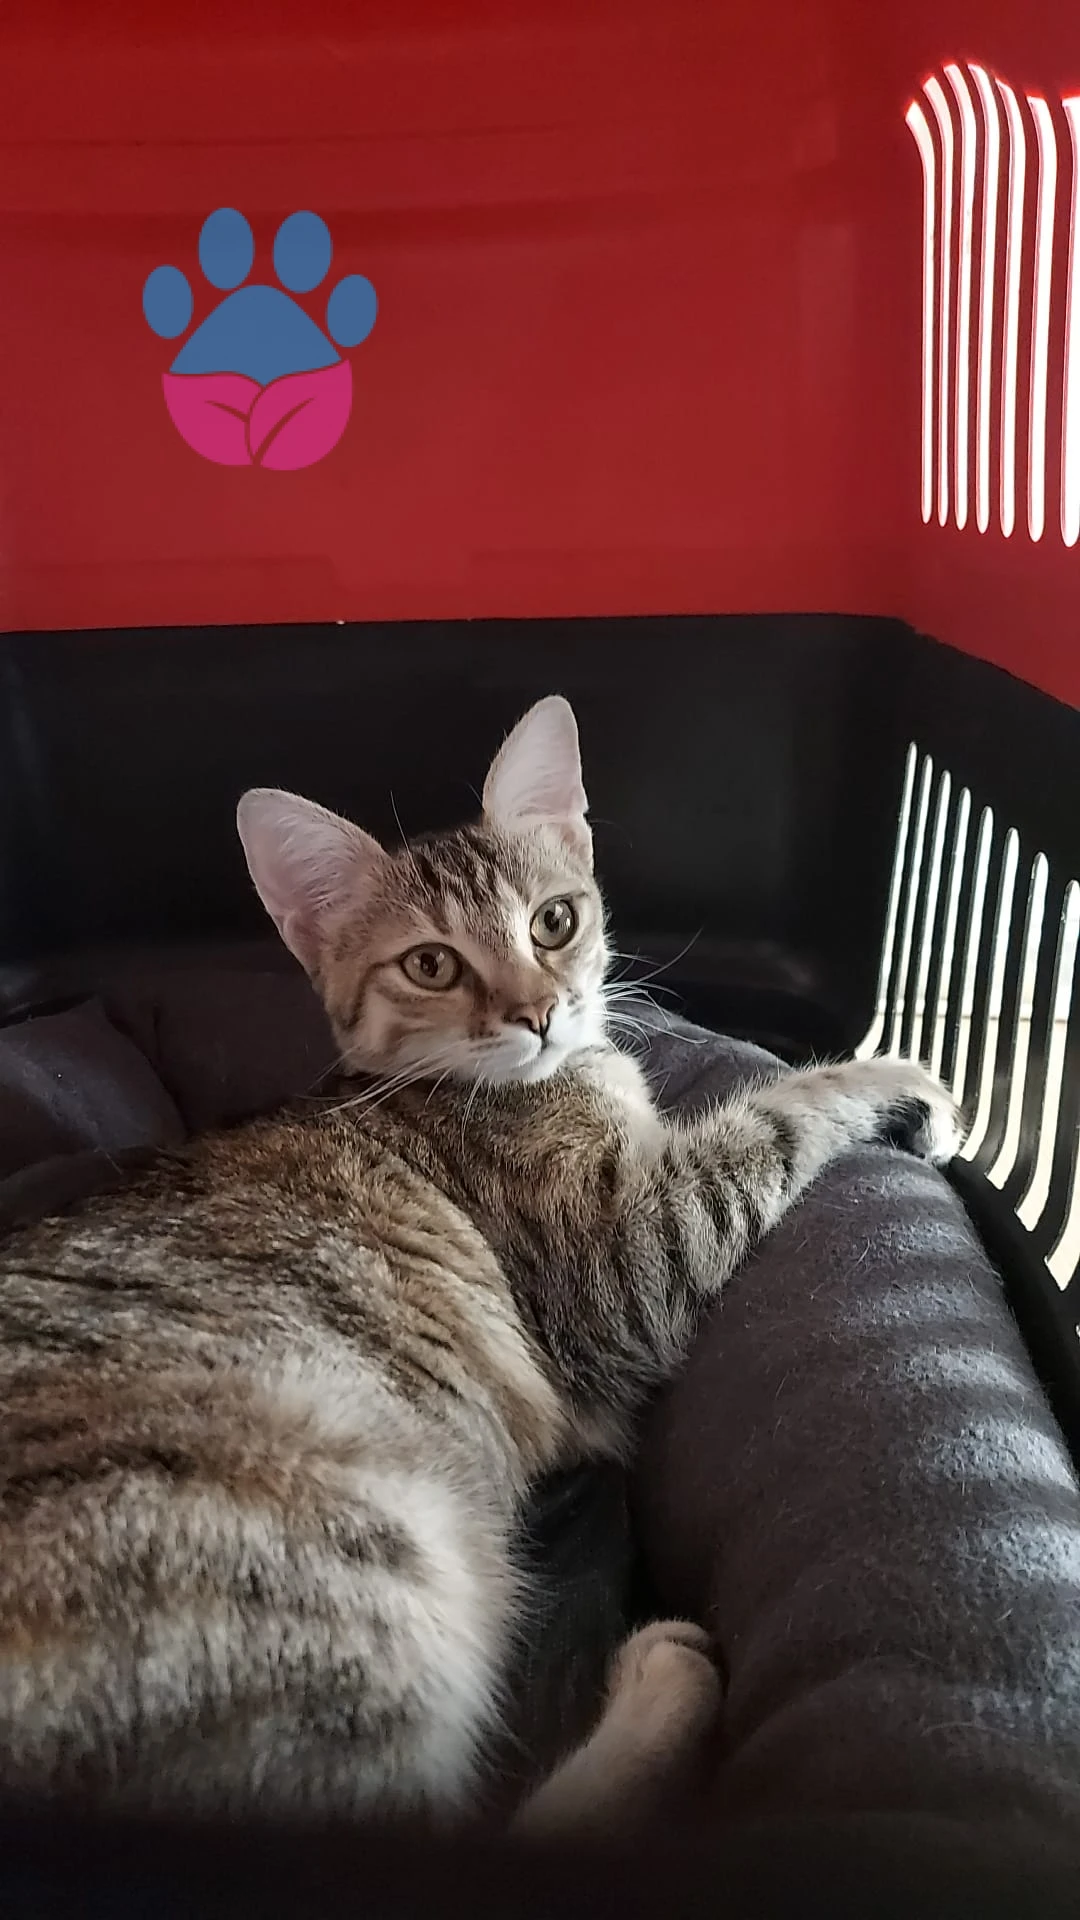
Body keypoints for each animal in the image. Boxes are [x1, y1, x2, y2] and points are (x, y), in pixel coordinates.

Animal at [0, 695, 962, 1833]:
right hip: (335, 1575)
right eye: (430, 964)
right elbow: (769, 1118)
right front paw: (897, 1080)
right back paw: (664, 1686)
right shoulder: (625, 1256)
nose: (538, 1012)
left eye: (554, 921)